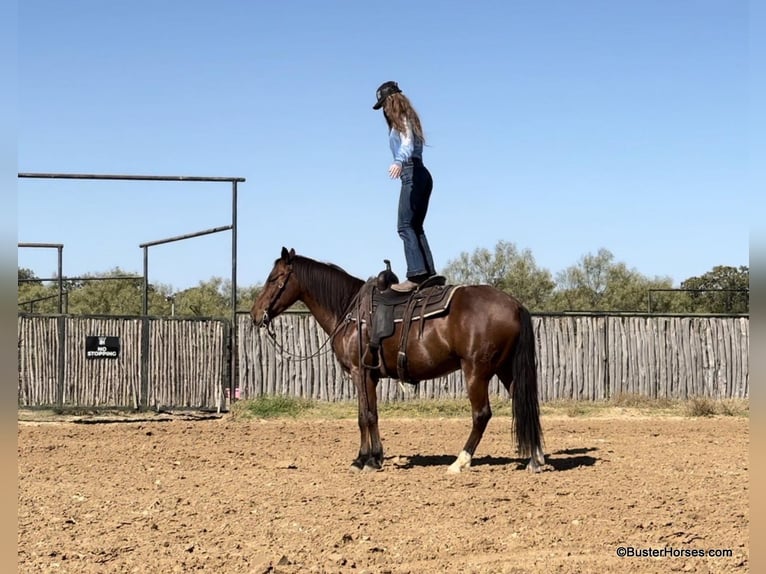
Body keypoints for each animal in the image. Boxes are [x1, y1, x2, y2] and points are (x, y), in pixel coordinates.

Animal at [252, 250, 544, 474]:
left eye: (274, 278)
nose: (256, 314)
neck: (349, 311)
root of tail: (515, 304)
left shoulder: (360, 372)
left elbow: (365, 416)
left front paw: (366, 461)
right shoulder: (369, 376)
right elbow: (370, 414)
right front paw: (371, 457)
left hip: (476, 371)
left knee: (481, 414)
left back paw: (459, 462)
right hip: (506, 370)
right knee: (525, 404)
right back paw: (535, 459)